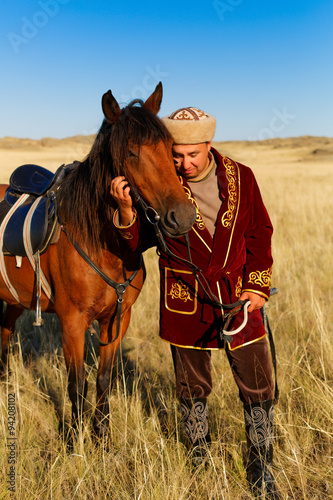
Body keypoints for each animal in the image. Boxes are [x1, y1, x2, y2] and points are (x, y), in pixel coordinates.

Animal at [0, 83, 196, 438]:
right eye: (131, 153)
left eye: (170, 148)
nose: (183, 216)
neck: (104, 244)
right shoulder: (72, 322)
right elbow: (76, 385)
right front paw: (74, 440)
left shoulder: (118, 319)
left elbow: (104, 379)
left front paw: (102, 434)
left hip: (16, 299)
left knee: (5, 331)